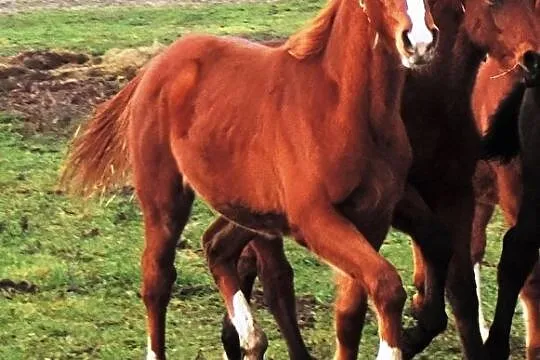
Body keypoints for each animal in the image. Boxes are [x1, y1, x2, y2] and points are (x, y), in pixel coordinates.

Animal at [60, 0, 438, 360]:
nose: (419, 41)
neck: (340, 106)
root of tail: (157, 65)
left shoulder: (372, 219)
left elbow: (351, 314)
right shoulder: (314, 220)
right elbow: (387, 286)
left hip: (252, 211)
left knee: (216, 247)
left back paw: (251, 341)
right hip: (164, 200)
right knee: (157, 278)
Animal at [217, 0, 540, 360]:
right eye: (493, 2)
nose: (534, 59)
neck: (425, 103)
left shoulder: (457, 195)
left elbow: (461, 289)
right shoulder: (391, 203)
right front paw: (413, 332)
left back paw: (235, 338)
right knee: (276, 279)